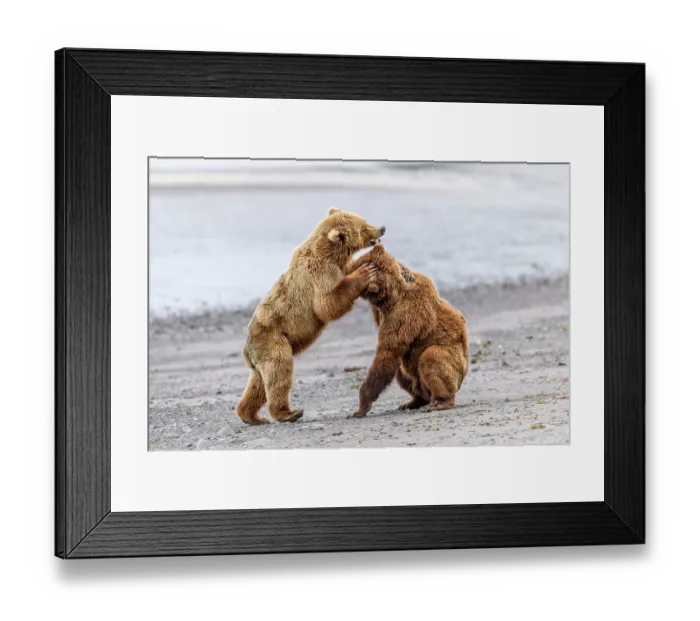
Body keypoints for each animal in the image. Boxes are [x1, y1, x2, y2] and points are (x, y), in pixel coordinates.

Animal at [235, 208, 386, 425]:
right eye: (364, 228)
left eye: (364, 220)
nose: (382, 228)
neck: (330, 254)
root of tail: (247, 349)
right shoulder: (319, 273)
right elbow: (327, 304)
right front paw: (365, 273)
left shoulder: (338, 266)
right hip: (273, 340)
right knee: (279, 372)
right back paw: (288, 413)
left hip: (261, 355)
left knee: (258, 384)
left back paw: (251, 415)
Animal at [349, 244, 469, 417]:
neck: (389, 298)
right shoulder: (383, 311)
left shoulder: (402, 316)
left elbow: (387, 354)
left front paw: (361, 408)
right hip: (418, 380)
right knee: (402, 371)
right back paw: (412, 402)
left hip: (455, 364)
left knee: (431, 357)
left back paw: (439, 402)